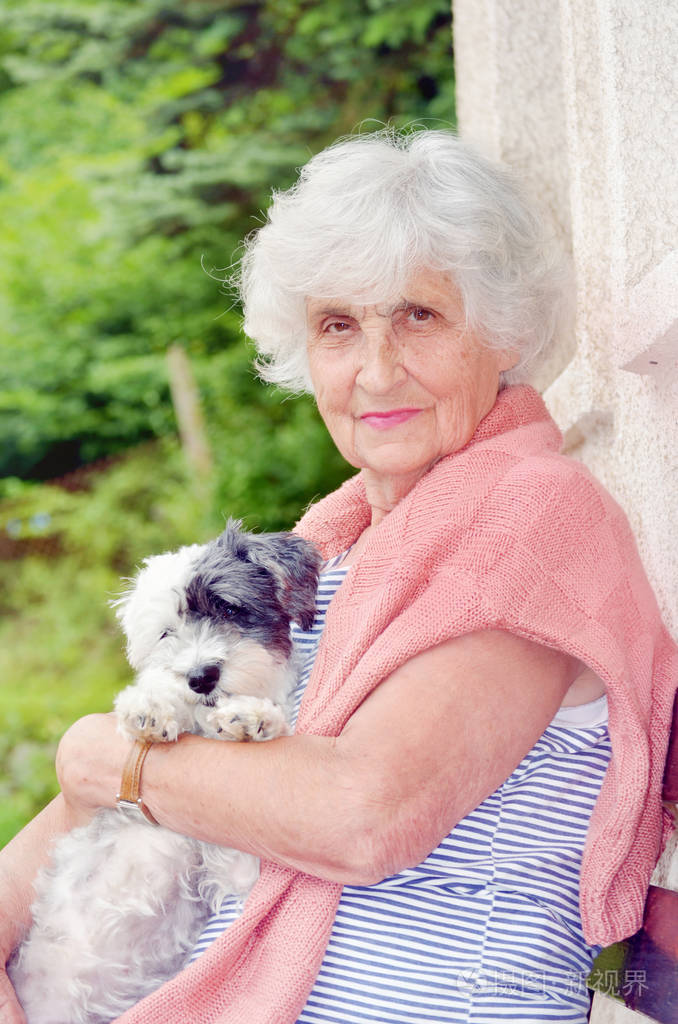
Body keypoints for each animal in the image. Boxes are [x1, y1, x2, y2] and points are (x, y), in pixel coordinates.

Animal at [7, 524, 321, 1019]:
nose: (201, 676)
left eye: (229, 608)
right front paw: (152, 706)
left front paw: (251, 719)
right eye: (165, 633)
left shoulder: (237, 872)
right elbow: (153, 696)